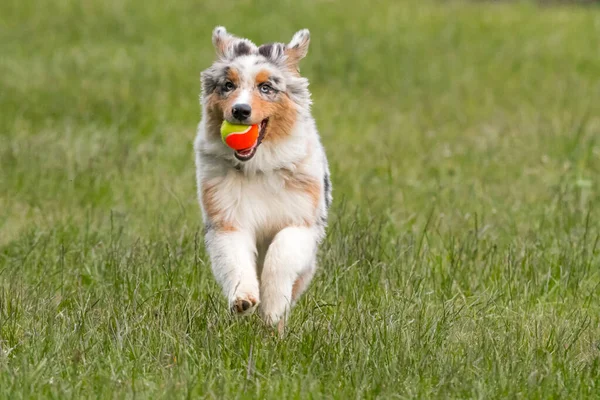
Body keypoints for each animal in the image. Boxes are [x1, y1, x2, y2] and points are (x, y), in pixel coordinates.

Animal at [193, 27, 330, 328]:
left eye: (266, 87)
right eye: (228, 85)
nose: (240, 110)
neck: (259, 167)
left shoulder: (301, 220)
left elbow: (281, 254)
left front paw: (273, 309)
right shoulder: (227, 218)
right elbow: (235, 258)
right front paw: (243, 299)